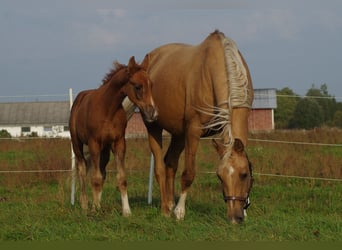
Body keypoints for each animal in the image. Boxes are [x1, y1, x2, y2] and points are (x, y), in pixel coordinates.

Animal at [69, 55, 158, 216]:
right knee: (82, 170)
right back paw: (85, 204)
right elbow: (95, 177)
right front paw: (95, 209)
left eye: (151, 85)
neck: (108, 109)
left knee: (102, 172)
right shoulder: (94, 143)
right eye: (137, 86)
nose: (152, 113)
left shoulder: (119, 143)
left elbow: (121, 178)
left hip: (105, 149)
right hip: (77, 144)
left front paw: (126, 211)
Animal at [142, 30, 254, 224]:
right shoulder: (193, 131)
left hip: (179, 134)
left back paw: (170, 203)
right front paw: (180, 212)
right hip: (154, 127)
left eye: (244, 174)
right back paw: (166, 209)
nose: (234, 218)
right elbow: (188, 174)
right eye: (219, 176)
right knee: (160, 168)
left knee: (170, 163)